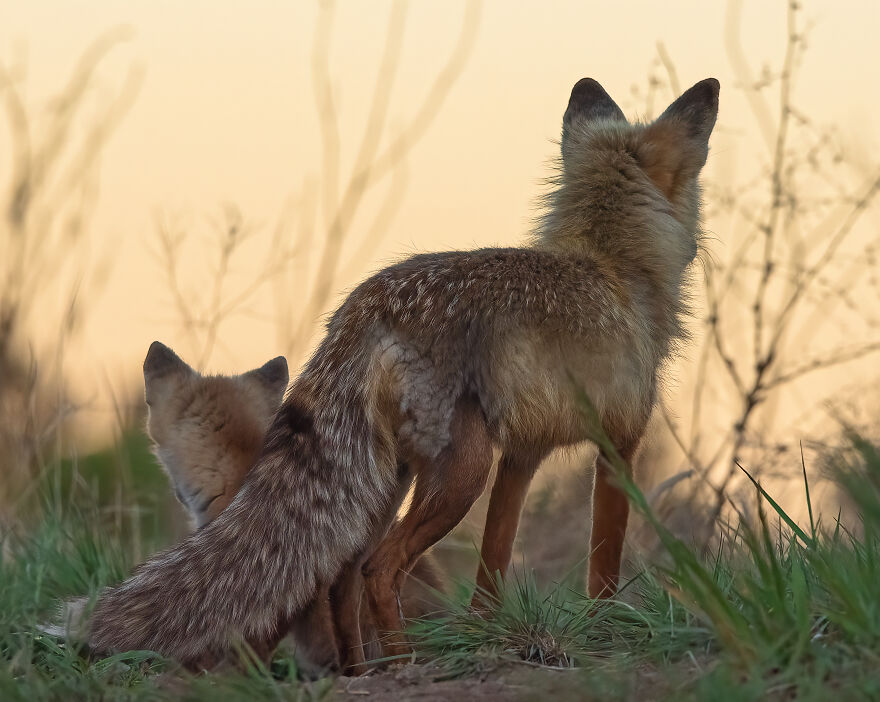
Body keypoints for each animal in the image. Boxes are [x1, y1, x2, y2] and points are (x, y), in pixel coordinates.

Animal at [87, 76, 719, 670]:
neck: (613, 269)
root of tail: (368, 305)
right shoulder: (619, 446)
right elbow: (603, 567)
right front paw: (604, 628)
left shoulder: (520, 457)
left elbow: (490, 573)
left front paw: (486, 637)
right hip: (458, 472)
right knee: (377, 568)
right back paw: (404, 660)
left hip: (386, 483)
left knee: (338, 577)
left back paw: (363, 671)